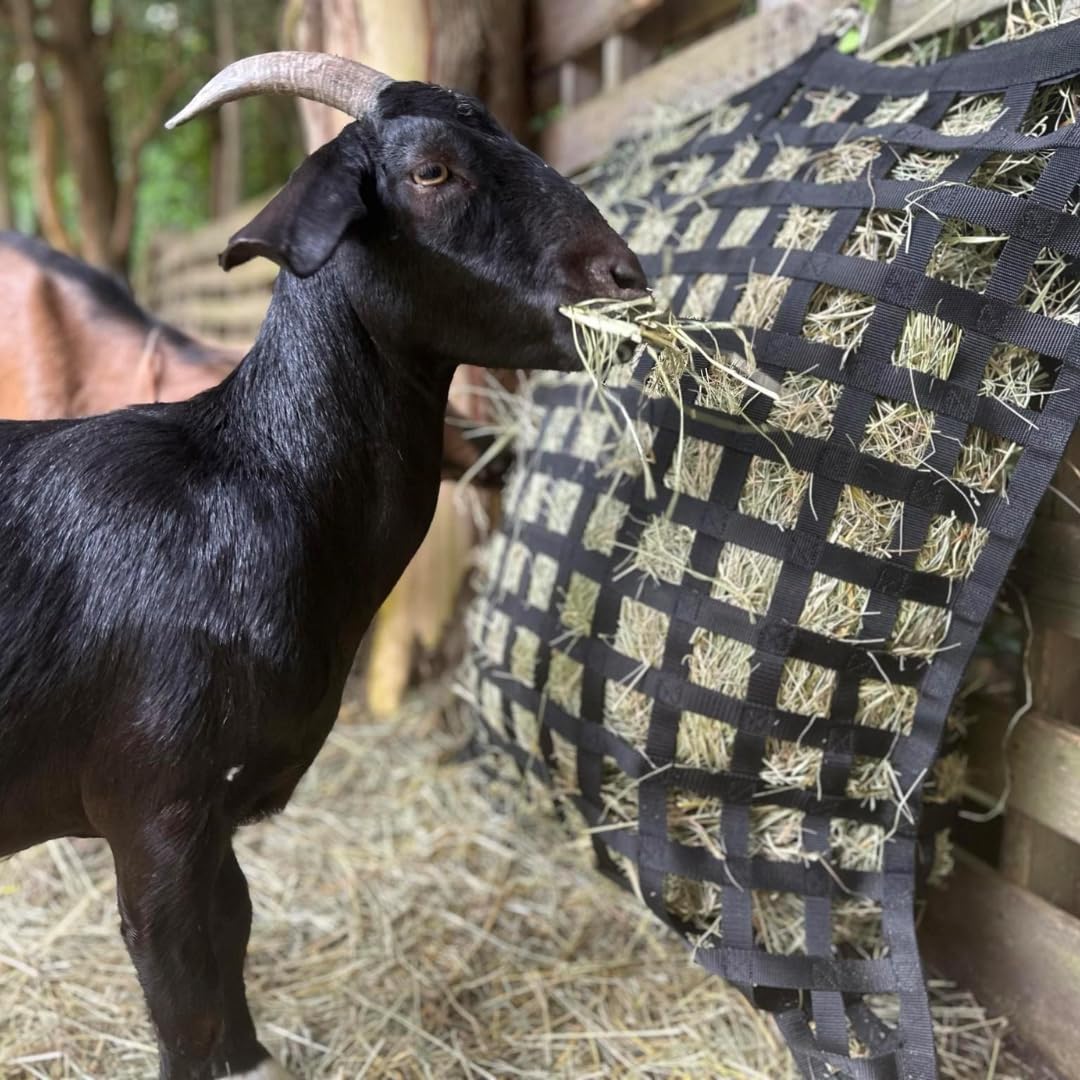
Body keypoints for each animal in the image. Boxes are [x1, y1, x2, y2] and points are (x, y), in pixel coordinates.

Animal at [0, 51, 645, 1080]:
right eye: (430, 171)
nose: (625, 278)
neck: (245, 484)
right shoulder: (153, 808)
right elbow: (179, 985)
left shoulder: (217, 814)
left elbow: (232, 933)